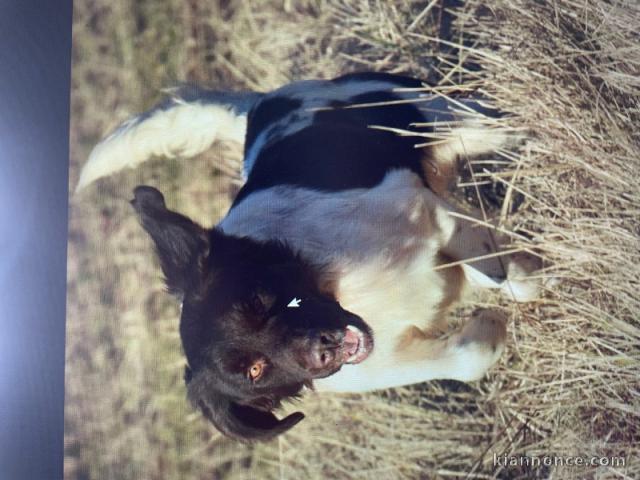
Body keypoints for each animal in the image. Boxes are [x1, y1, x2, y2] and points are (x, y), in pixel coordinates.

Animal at [79, 71, 540, 442]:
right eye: (254, 372)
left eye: (258, 301)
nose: (326, 346)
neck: (339, 286)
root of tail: (259, 106)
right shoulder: (389, 358)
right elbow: (468, 356)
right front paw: (491, 325)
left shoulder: (425, 210)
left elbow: (504, 273)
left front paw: (526, 273)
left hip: (437, 115)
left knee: (488, 122)